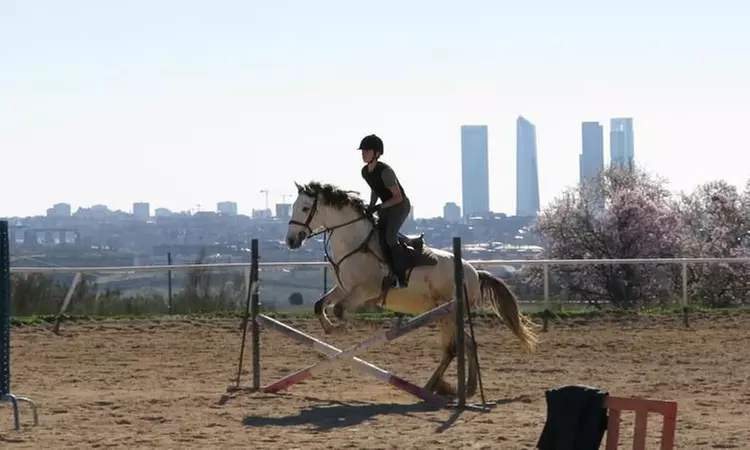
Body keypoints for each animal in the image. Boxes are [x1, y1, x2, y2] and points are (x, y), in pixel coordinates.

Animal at [285, 180, 539, 397]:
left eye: (305, 208)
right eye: (293, 207)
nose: (291, 241)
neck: (354, 243)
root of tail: (475, 273)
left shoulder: (366, 290)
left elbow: (339, 309)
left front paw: (343, 328)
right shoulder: (344, 287)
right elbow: (320, 305)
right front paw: (330, 329)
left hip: (446, 312)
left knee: (452, 349)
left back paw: (434, 386)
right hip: (448, 314)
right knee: (467, 343)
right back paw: (466, 387)